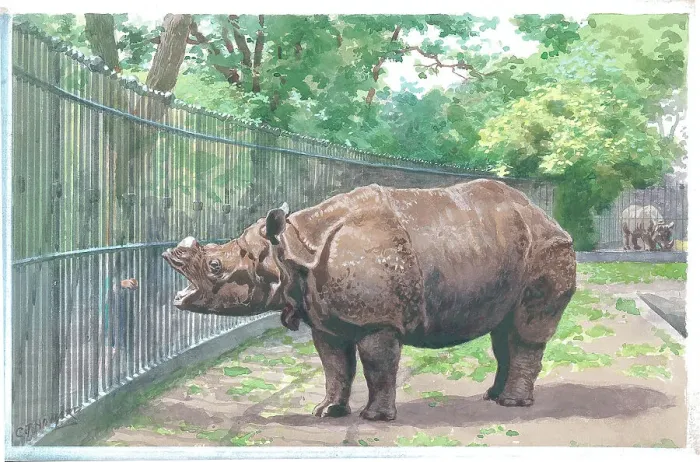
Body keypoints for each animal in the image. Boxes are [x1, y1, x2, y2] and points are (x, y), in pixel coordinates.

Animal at [162, 180, 576, 421]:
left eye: (215, 266)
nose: (169, 256)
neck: (289, 250)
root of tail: (545, 215)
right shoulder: (326, 319)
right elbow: (335, 366)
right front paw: (327, 412)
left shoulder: (377, 320)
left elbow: (377, 366)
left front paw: (374, 418)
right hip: (504, 248)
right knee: (502, 332)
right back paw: (492, 397)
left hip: (547, 248)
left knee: (526, 330)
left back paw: (511, 405)